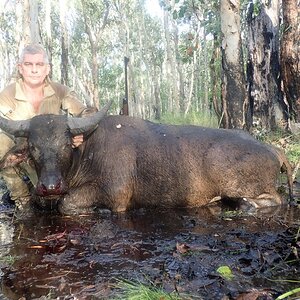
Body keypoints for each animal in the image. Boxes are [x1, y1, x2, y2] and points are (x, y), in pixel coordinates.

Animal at [0, 102, 292, 214]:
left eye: (64, 145)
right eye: (34, 147)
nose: (50, 186)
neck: (86, 153)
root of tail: (273, 150)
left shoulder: (115, 194)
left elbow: (67, 204)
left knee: (275, 199)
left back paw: (247, 204)